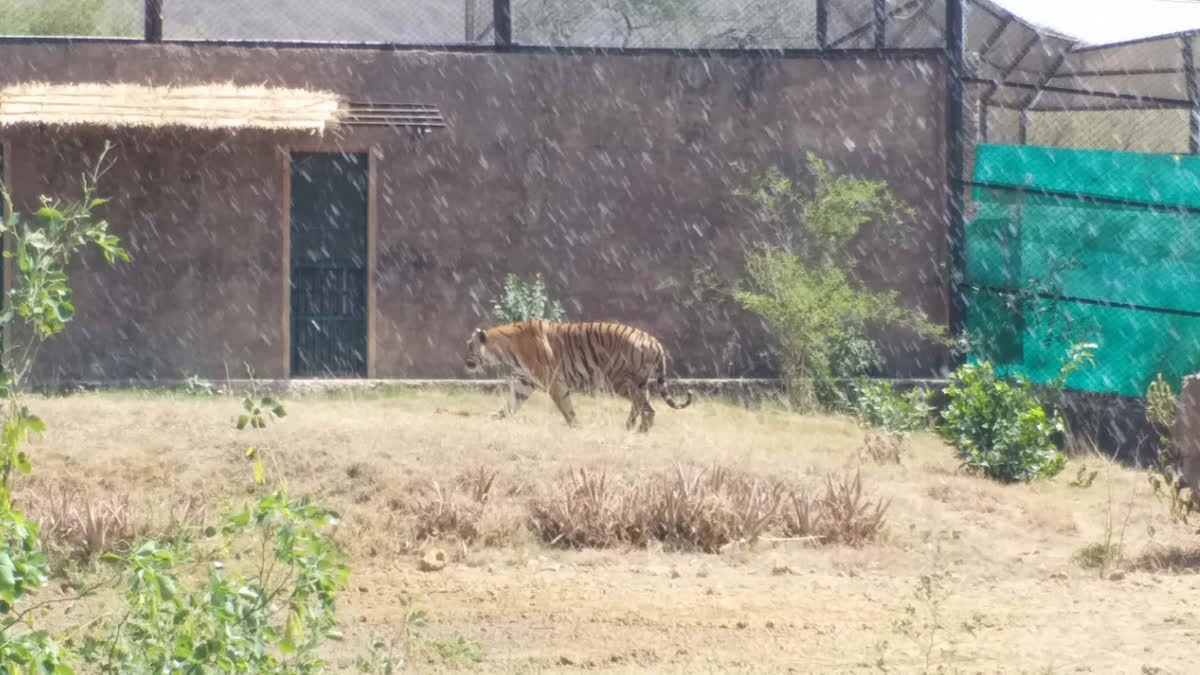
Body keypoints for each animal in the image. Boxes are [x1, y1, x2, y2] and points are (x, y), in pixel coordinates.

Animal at [463, 318, 694, 432]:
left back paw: (641, 430)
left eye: (469, 347)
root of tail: (654, 341)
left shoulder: (553, 380)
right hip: (639, 382)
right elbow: (511, 403)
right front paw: (496, 417)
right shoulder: (524, 382)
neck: (504, 348)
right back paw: (630, 427)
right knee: (642, 403)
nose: (464, 361)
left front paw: (575, 426)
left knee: (646, 406)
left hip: (619, 379)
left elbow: (565, 407)